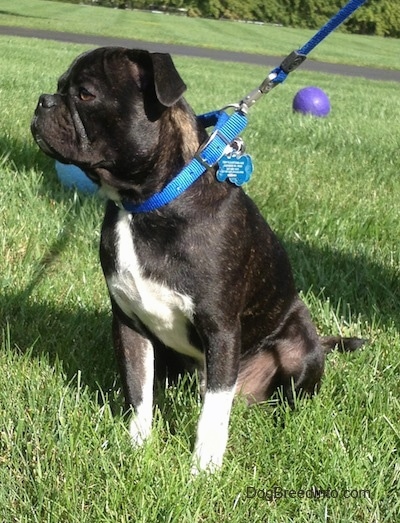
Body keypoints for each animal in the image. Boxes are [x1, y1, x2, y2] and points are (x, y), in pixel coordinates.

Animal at [30, 48, 362, 474]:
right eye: (59, 86)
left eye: (85, 94)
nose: (43, 101)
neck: (145, 205)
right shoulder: (129, 325)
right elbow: (139, 390)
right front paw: (137, 446)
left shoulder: (221, 330)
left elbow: (213, 413)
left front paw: (203, 468)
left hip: (298, 346)